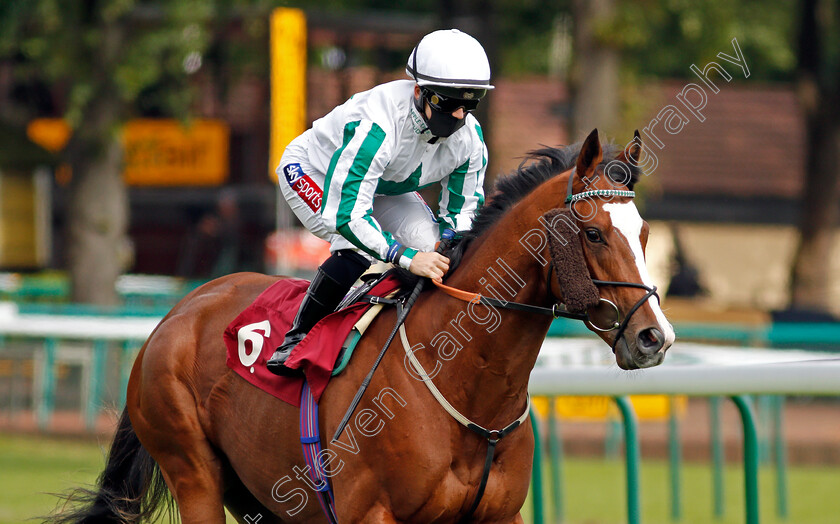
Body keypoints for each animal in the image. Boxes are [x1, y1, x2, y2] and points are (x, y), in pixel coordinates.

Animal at [49, 129, 676, 520]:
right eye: (593, 233)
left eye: (644, 233)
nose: (655, 338)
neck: (466, 390)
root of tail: (178, 313)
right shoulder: (371, 512)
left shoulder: (499, 516)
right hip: (194, 473)